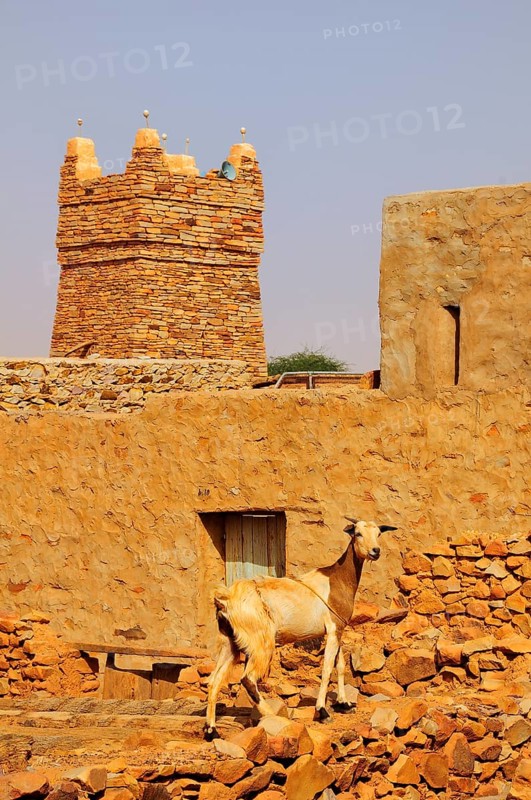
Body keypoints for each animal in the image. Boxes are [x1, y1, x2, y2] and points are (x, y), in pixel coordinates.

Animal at [204, 517, 397, 739]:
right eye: (357, 533)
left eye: (379, 534)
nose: (376, 551)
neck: (337, 579)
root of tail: (225, 599)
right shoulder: (333, 629)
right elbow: (326, 669)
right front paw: (322, 711)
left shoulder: (337, 629)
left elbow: (339, 666)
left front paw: (344, 703)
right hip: (260, 642)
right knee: (248, 679)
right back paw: (272, 715)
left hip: (230, 643)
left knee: (214, 680)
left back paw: (211, 730)